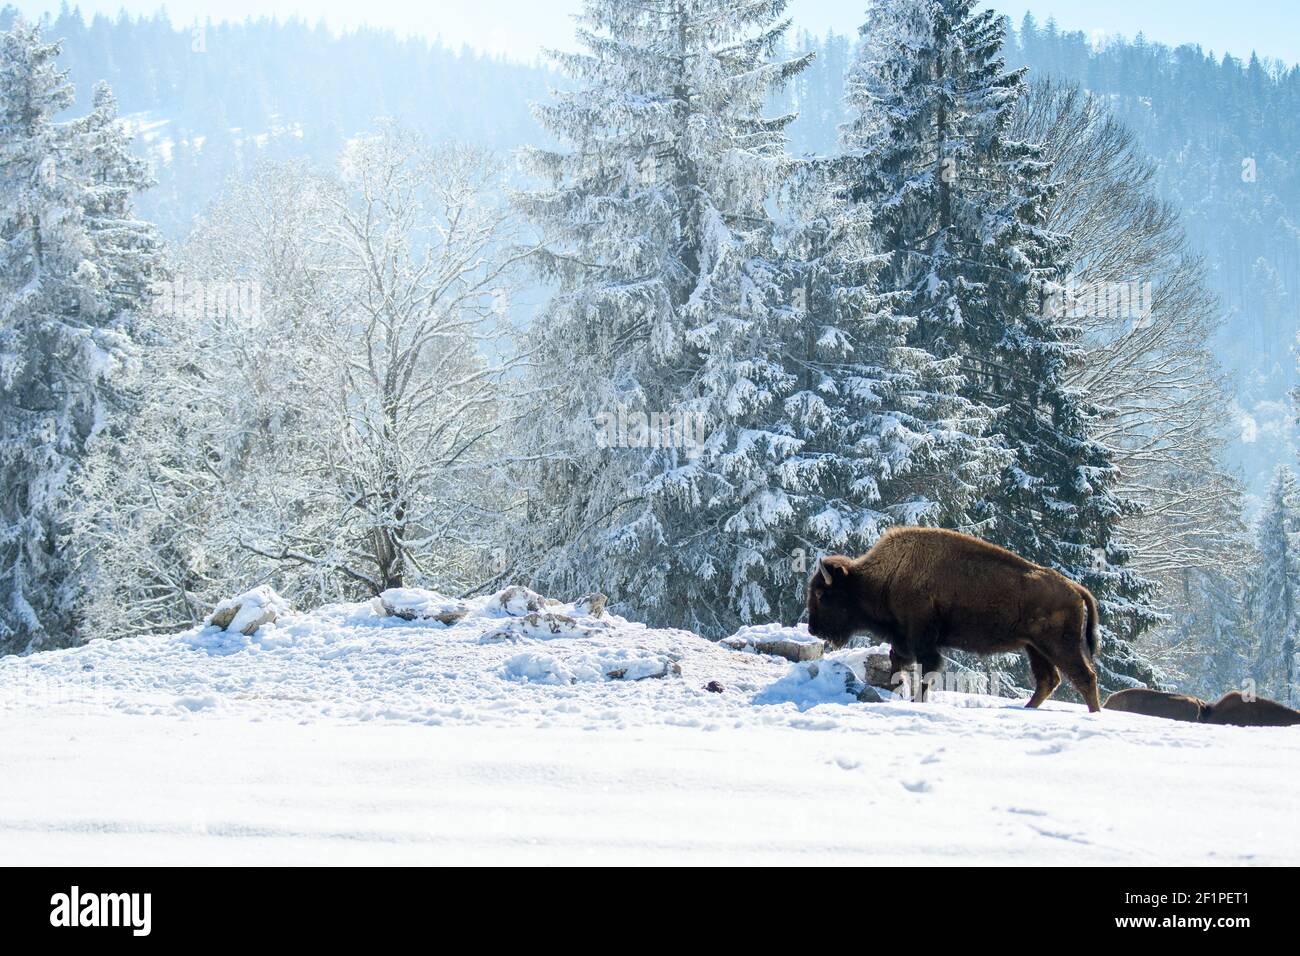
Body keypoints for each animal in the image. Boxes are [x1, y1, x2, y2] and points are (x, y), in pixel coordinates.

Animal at [806, 528, 1102, 712]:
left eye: (822, 593)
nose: (813, 629)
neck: (885, 577)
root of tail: (1074, 588)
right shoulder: (903, 641)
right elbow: (898, 664)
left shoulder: (922, 641)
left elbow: (926, 670)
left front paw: (916, 701)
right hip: (1035, 648)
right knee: (1048, 680)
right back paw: (1026, 709)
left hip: (1059, 646)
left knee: (1084, 677)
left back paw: (1094, 714)